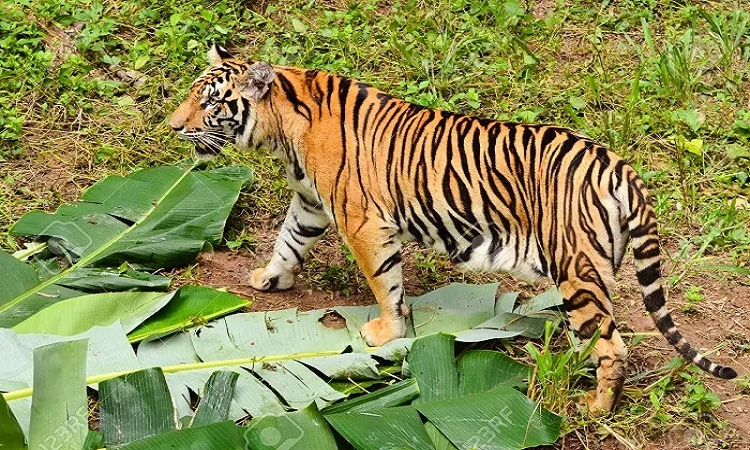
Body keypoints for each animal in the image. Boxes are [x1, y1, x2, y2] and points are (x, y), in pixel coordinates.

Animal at [169, 44, 737, 413]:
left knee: (612, 344)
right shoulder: (310, 202)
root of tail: (619, 165)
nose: (173, 126)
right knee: (603, 331)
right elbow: (289, 240)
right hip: (598, 269)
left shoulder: (363, 221)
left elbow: (384, 281)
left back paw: (596, 407)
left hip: (575, 265)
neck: (283, 129)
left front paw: (386, 332)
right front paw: (268, 278)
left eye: (211, 102)